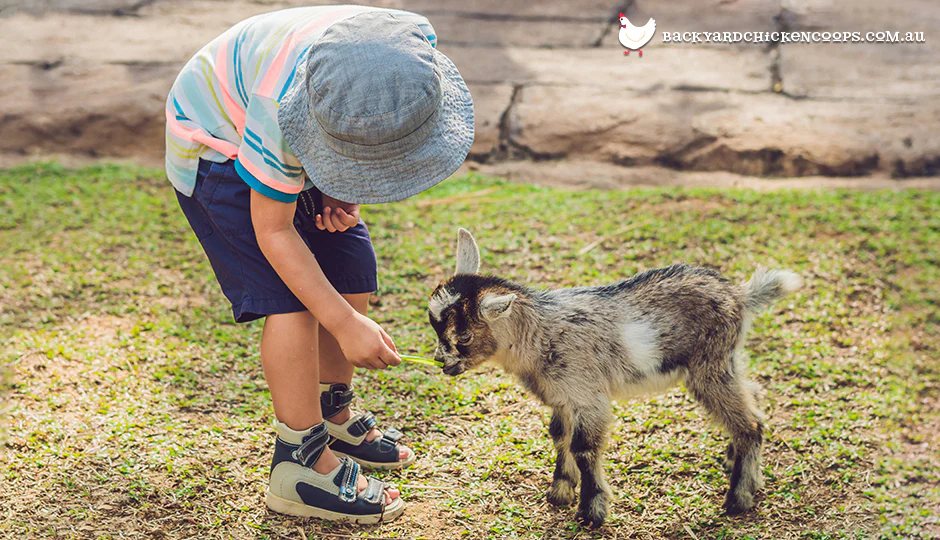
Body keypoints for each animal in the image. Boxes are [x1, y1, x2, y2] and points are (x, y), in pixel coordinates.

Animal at [427, 229, 800, 527]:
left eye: (464, 337)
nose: (440, 361)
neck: (539, 333)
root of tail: (741, 294)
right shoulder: (564, 399)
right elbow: (559, 436)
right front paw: (560, 491)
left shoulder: (588, 397)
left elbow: (583, 448)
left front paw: (591, 513)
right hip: (727, 360)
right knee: (753, 396)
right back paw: (737, 463)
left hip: (709, 366)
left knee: (749, 424)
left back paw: (738, 499)